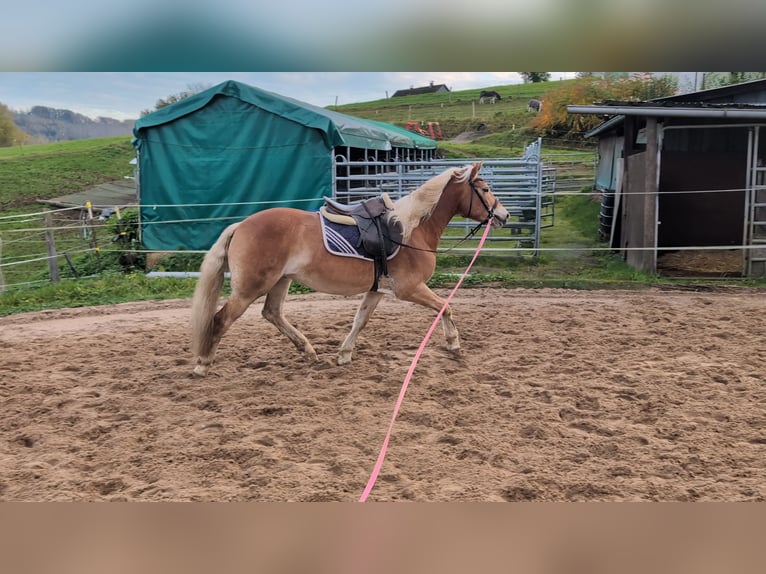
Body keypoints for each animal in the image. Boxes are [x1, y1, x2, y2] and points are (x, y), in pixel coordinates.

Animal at [190, 162, 510, 378]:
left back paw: (308, 351)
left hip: (280, 281)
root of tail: (241, 225)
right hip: (250, 288)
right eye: (485, 189)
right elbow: (445, 306)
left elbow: (360, 321)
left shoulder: (377, 290)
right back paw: (202, 365)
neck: (410, 229)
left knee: (272, 313)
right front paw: (454, 344)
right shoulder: (409, 289)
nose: (504, 216)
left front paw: (344, 354)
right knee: (220, 320)